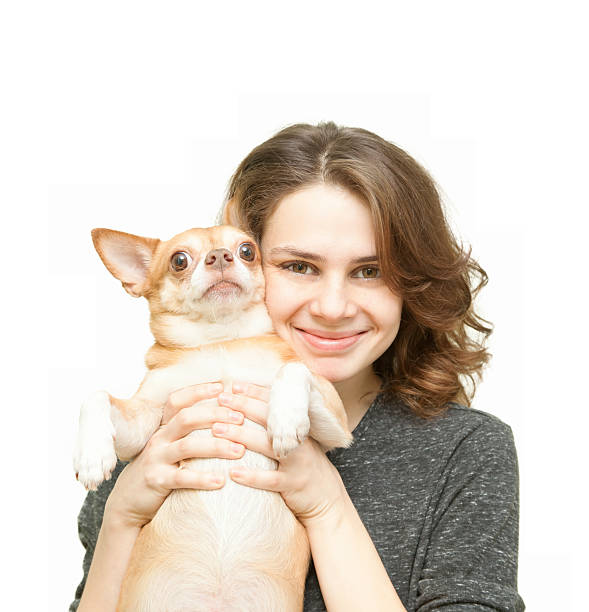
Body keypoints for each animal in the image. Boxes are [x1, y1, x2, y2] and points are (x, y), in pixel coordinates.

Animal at [72, 225, 352, 612]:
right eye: (179, 260)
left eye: (248, 250)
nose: (220, 256)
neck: (221, 341)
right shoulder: (143, 424)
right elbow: (95, 395)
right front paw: (92, 455)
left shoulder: (335, 427)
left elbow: (295, 369)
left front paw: (285, 419)